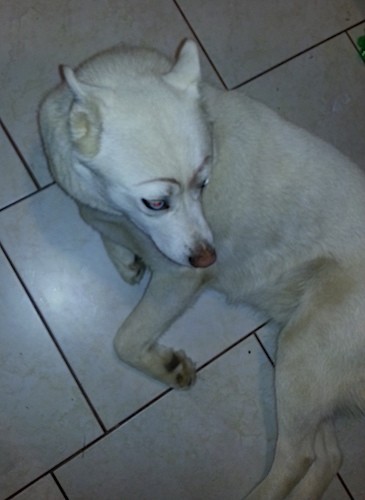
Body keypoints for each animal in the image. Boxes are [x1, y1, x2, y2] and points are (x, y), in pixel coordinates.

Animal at [39, 40, 364, 500]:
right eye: (156, 202)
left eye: (204, 184)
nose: (210, 258)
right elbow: (94, 219)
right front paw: (125, 258)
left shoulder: (179, 277)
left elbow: (125, 339)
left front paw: (167, 367)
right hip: (308, 366)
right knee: (328, 457)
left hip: (302, 354)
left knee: (296, 457)